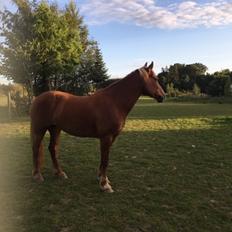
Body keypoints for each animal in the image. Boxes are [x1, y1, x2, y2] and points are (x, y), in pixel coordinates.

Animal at [30, 61, 165, 192]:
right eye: (155, 79)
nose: (163, 96)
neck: (114, 102)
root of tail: (38, 98)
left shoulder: (112, 137)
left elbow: (103, 160)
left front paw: (102, 178)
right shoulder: (106, 137)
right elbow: (105, 160)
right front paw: (105, 185)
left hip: (55, 129)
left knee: (52, 148)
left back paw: (60, 173)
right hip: (39, 129)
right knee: (36, 148)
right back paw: (37, 175)